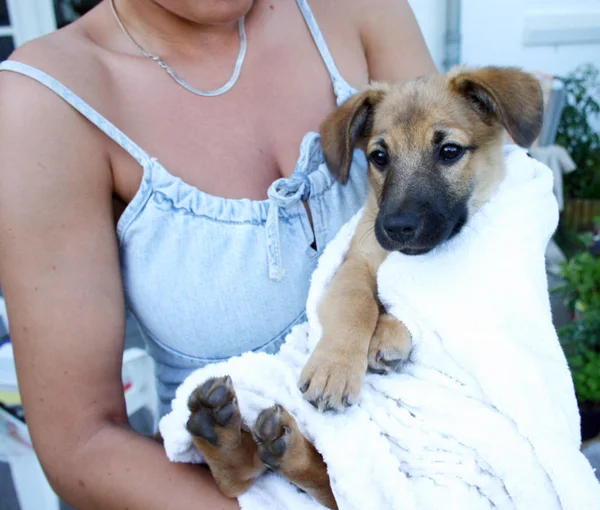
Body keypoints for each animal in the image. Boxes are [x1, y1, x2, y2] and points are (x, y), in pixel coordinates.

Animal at [183, 65, 544, 508]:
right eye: (379, 157)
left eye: (449, 151)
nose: (397, 227)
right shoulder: (355, 263)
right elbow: (359, 304)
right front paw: (335, 368)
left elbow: (402, 302)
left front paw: (385, 338)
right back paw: (223, 434)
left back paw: (248, 438)